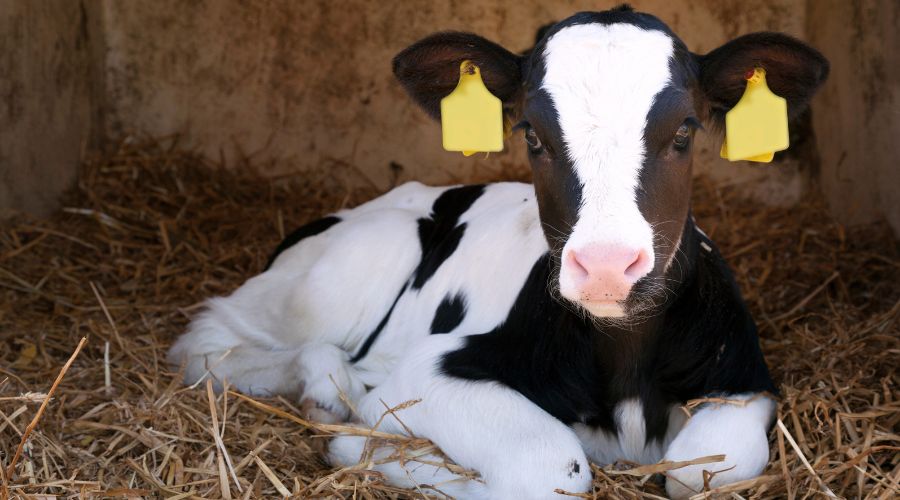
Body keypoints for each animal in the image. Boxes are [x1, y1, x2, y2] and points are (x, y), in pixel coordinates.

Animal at [168, 6, 828, 498]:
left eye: (685, 130)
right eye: (533, 134)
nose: (606, 266)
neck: (624, 369)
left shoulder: (744, 379)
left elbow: (703, 467)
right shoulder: (431, 371)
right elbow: (549, 466)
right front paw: (367, 444)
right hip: (354, 263)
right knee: (209, 344)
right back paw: (331, 391)